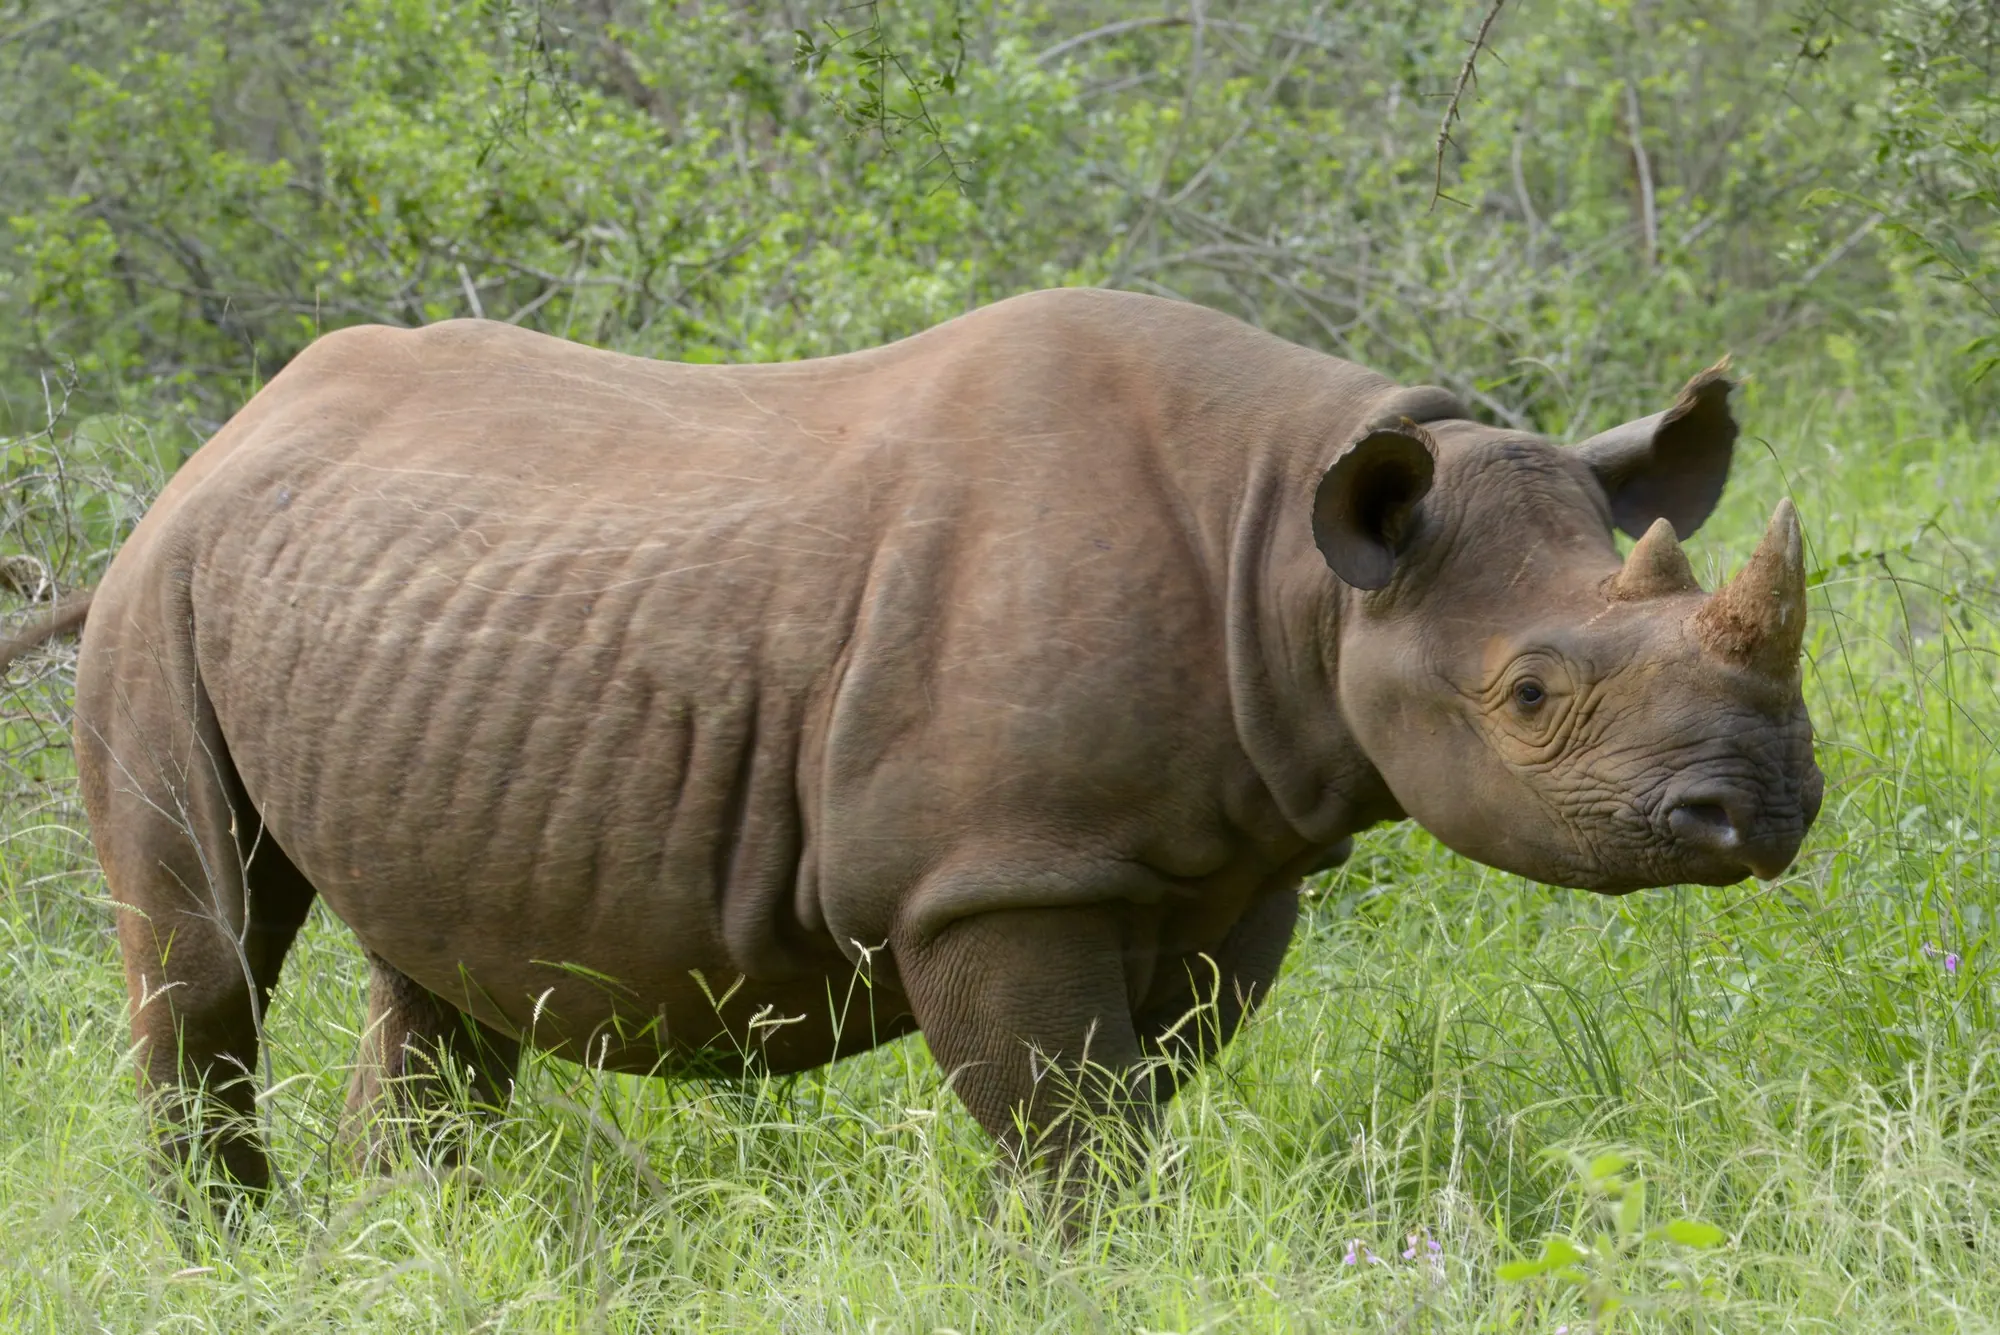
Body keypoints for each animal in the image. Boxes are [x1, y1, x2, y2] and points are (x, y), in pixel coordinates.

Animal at [0, 288, 1820, 1197]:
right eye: (1529, 696)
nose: (1771, 808)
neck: (1296, 566)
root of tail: (221, 437)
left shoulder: (1221, 860)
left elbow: (1117, 1099)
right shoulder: (993, 873)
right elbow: (1071, 1122)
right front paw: (1094, 1269)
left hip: (380, 616)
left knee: (435, 981)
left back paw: (405, 1243)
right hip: (165, 588)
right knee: (206, 952)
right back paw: (236, 1250)